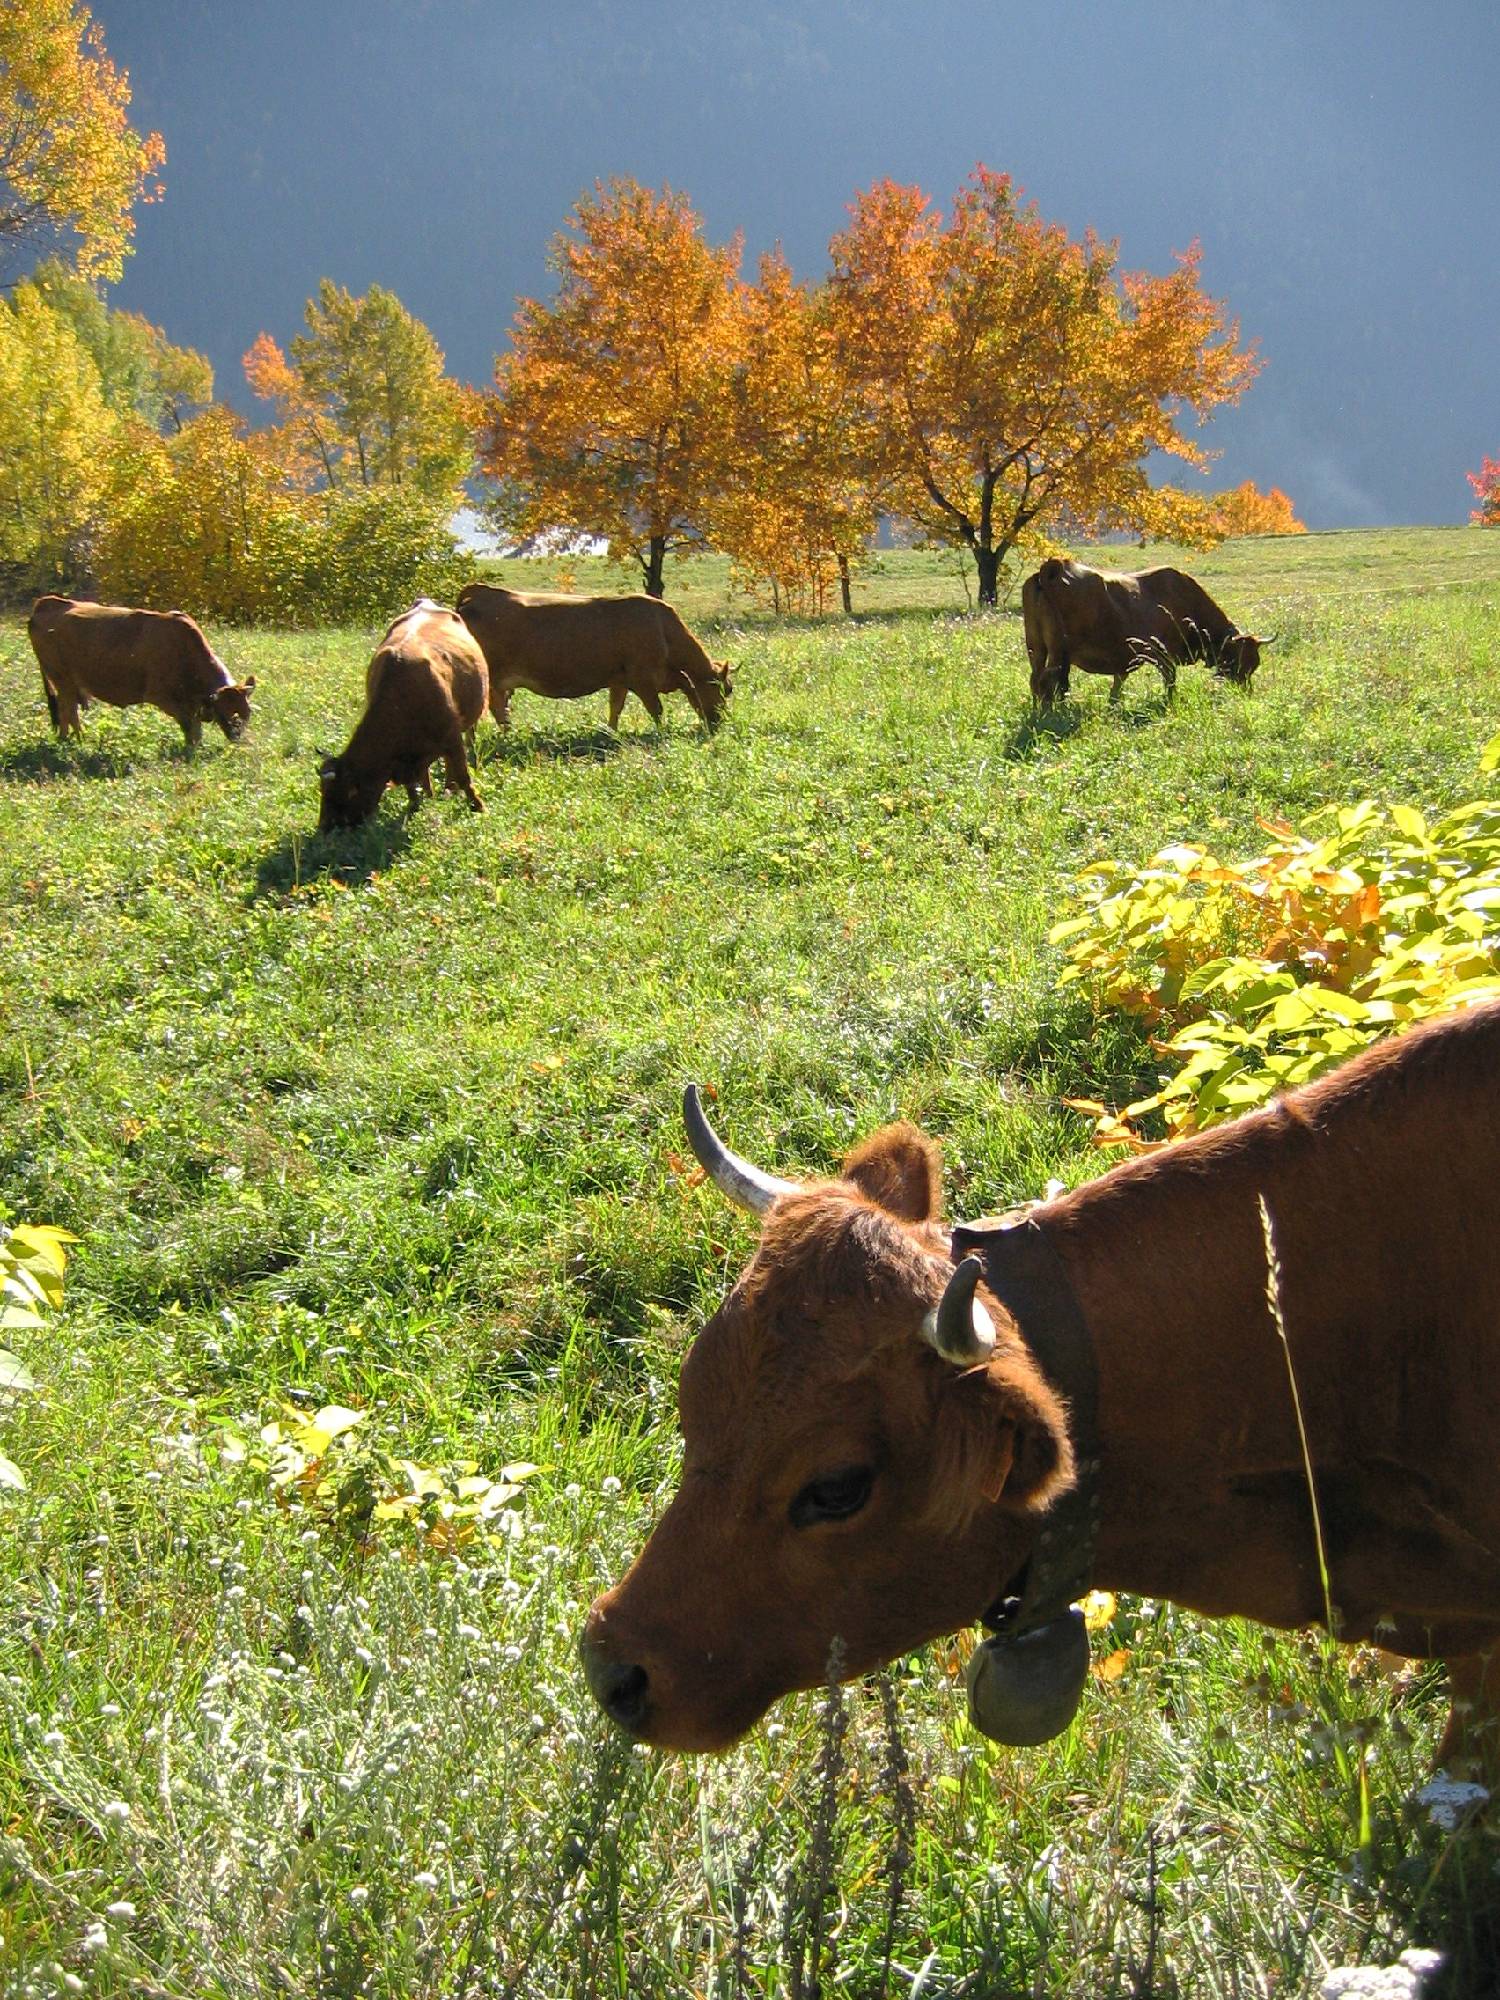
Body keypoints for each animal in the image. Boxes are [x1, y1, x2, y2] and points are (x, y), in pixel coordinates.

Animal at [27, 596, 258, 752]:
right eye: (229, 713)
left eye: (247, 713)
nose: (237, 738)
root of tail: (48, 602)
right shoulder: (160, 696)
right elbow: (189, 725)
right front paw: (191, 749)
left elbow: (195, 726)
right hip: (61, 679)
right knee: (68, 710)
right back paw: (75, 743)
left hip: (68, 683)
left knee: (68, 710)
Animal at [320, 600, 490, 836]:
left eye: (340, 795)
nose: (323, 829)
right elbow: (413, 784)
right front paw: (415, 805)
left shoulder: (452, 737)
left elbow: (463, 774)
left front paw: (478, 806)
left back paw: (450, 789)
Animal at [458, 580, 736, 736]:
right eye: (724, 689)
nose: (719, 722)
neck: (662, 629)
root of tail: (481, 593)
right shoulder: (643, 679)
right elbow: (656, 709)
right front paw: (661, 732)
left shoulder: (620, 680)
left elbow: (616, 708)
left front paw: (611, 733)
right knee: (488, 711)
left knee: (497, 710)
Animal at [1016, 556, 1272, 712]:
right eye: (1239, 661)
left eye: (1255, 664)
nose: (1246, 693)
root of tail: (1053, 566)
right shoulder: (1162, 654)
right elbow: (1170, 681)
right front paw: (1170, 703)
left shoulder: (1125, 660)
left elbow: (1117, 686)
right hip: (1058, 652)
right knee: (1048, 682)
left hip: (1036, 648)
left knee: (1036, 680)